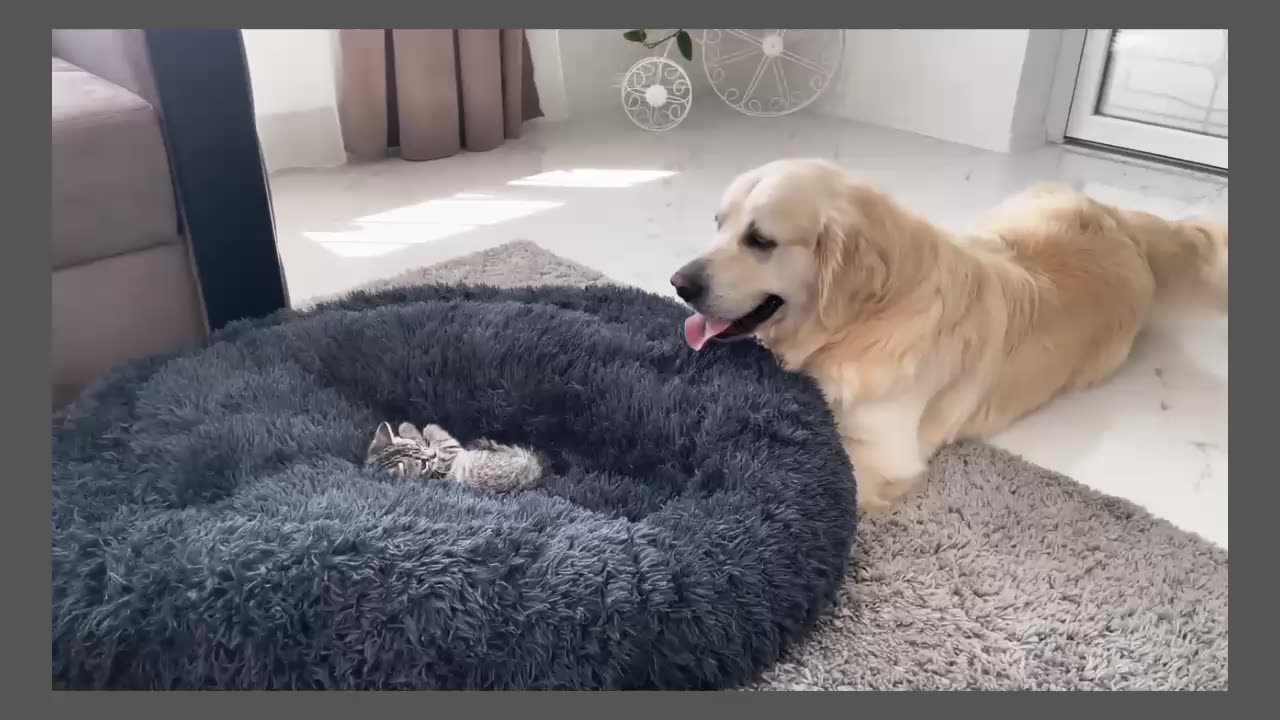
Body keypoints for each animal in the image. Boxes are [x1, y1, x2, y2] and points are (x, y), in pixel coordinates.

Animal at [363, 417, 542, 489]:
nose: (432, 455)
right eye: (422, 465)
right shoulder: (450, 453)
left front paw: (407, 428)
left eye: (417, 446)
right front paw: (423, 427)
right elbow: (439, 438)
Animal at [675, 159, 1223, 512]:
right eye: (718, 223)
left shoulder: (882, 452)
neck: (861, 325)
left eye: (760, 240)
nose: (679, 283)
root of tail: (1120, 224)